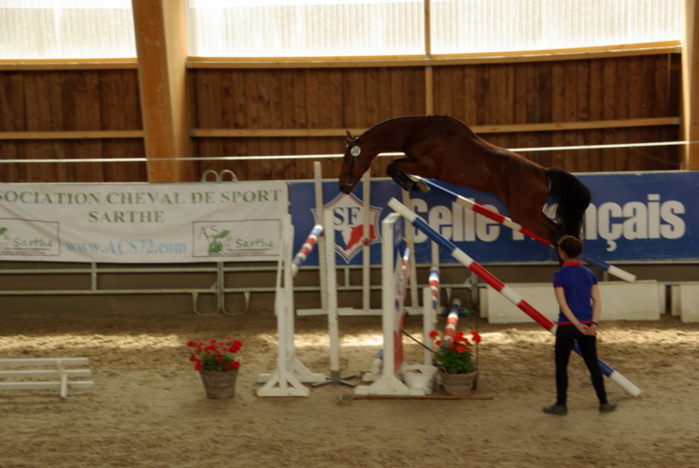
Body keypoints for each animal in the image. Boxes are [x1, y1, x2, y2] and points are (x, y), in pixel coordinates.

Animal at [340, 115, 592, 247]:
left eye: (347, 159)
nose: (343, 186)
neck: (416, 131)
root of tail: (542, 171)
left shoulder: (428, 166)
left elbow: (392, 165)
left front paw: (413, 184)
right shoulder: (415, 161)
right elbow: (396, 164)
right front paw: (415, 183)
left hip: (524, 215)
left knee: (557, 234)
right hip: (531, 213)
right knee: (560, 232)